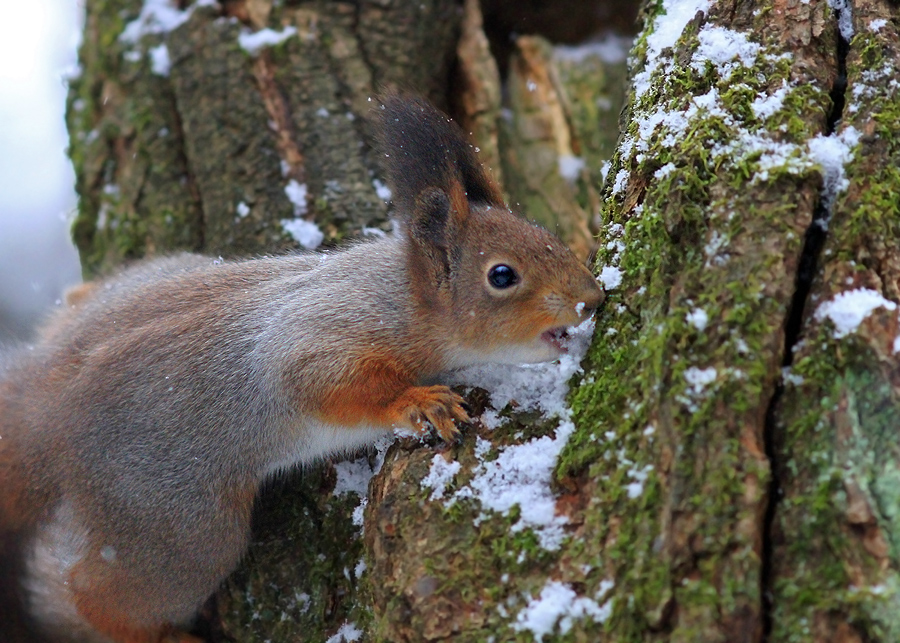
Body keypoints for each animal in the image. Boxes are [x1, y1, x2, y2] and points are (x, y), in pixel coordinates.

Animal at [1, 93, 604, 640]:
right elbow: (325, 384)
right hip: (177, 519)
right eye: (502, 276)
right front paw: (416, 401)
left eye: (548, 236)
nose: (593, 299)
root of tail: (45, 414)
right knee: (98, 592)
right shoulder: (320, 339)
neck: (402, 298)